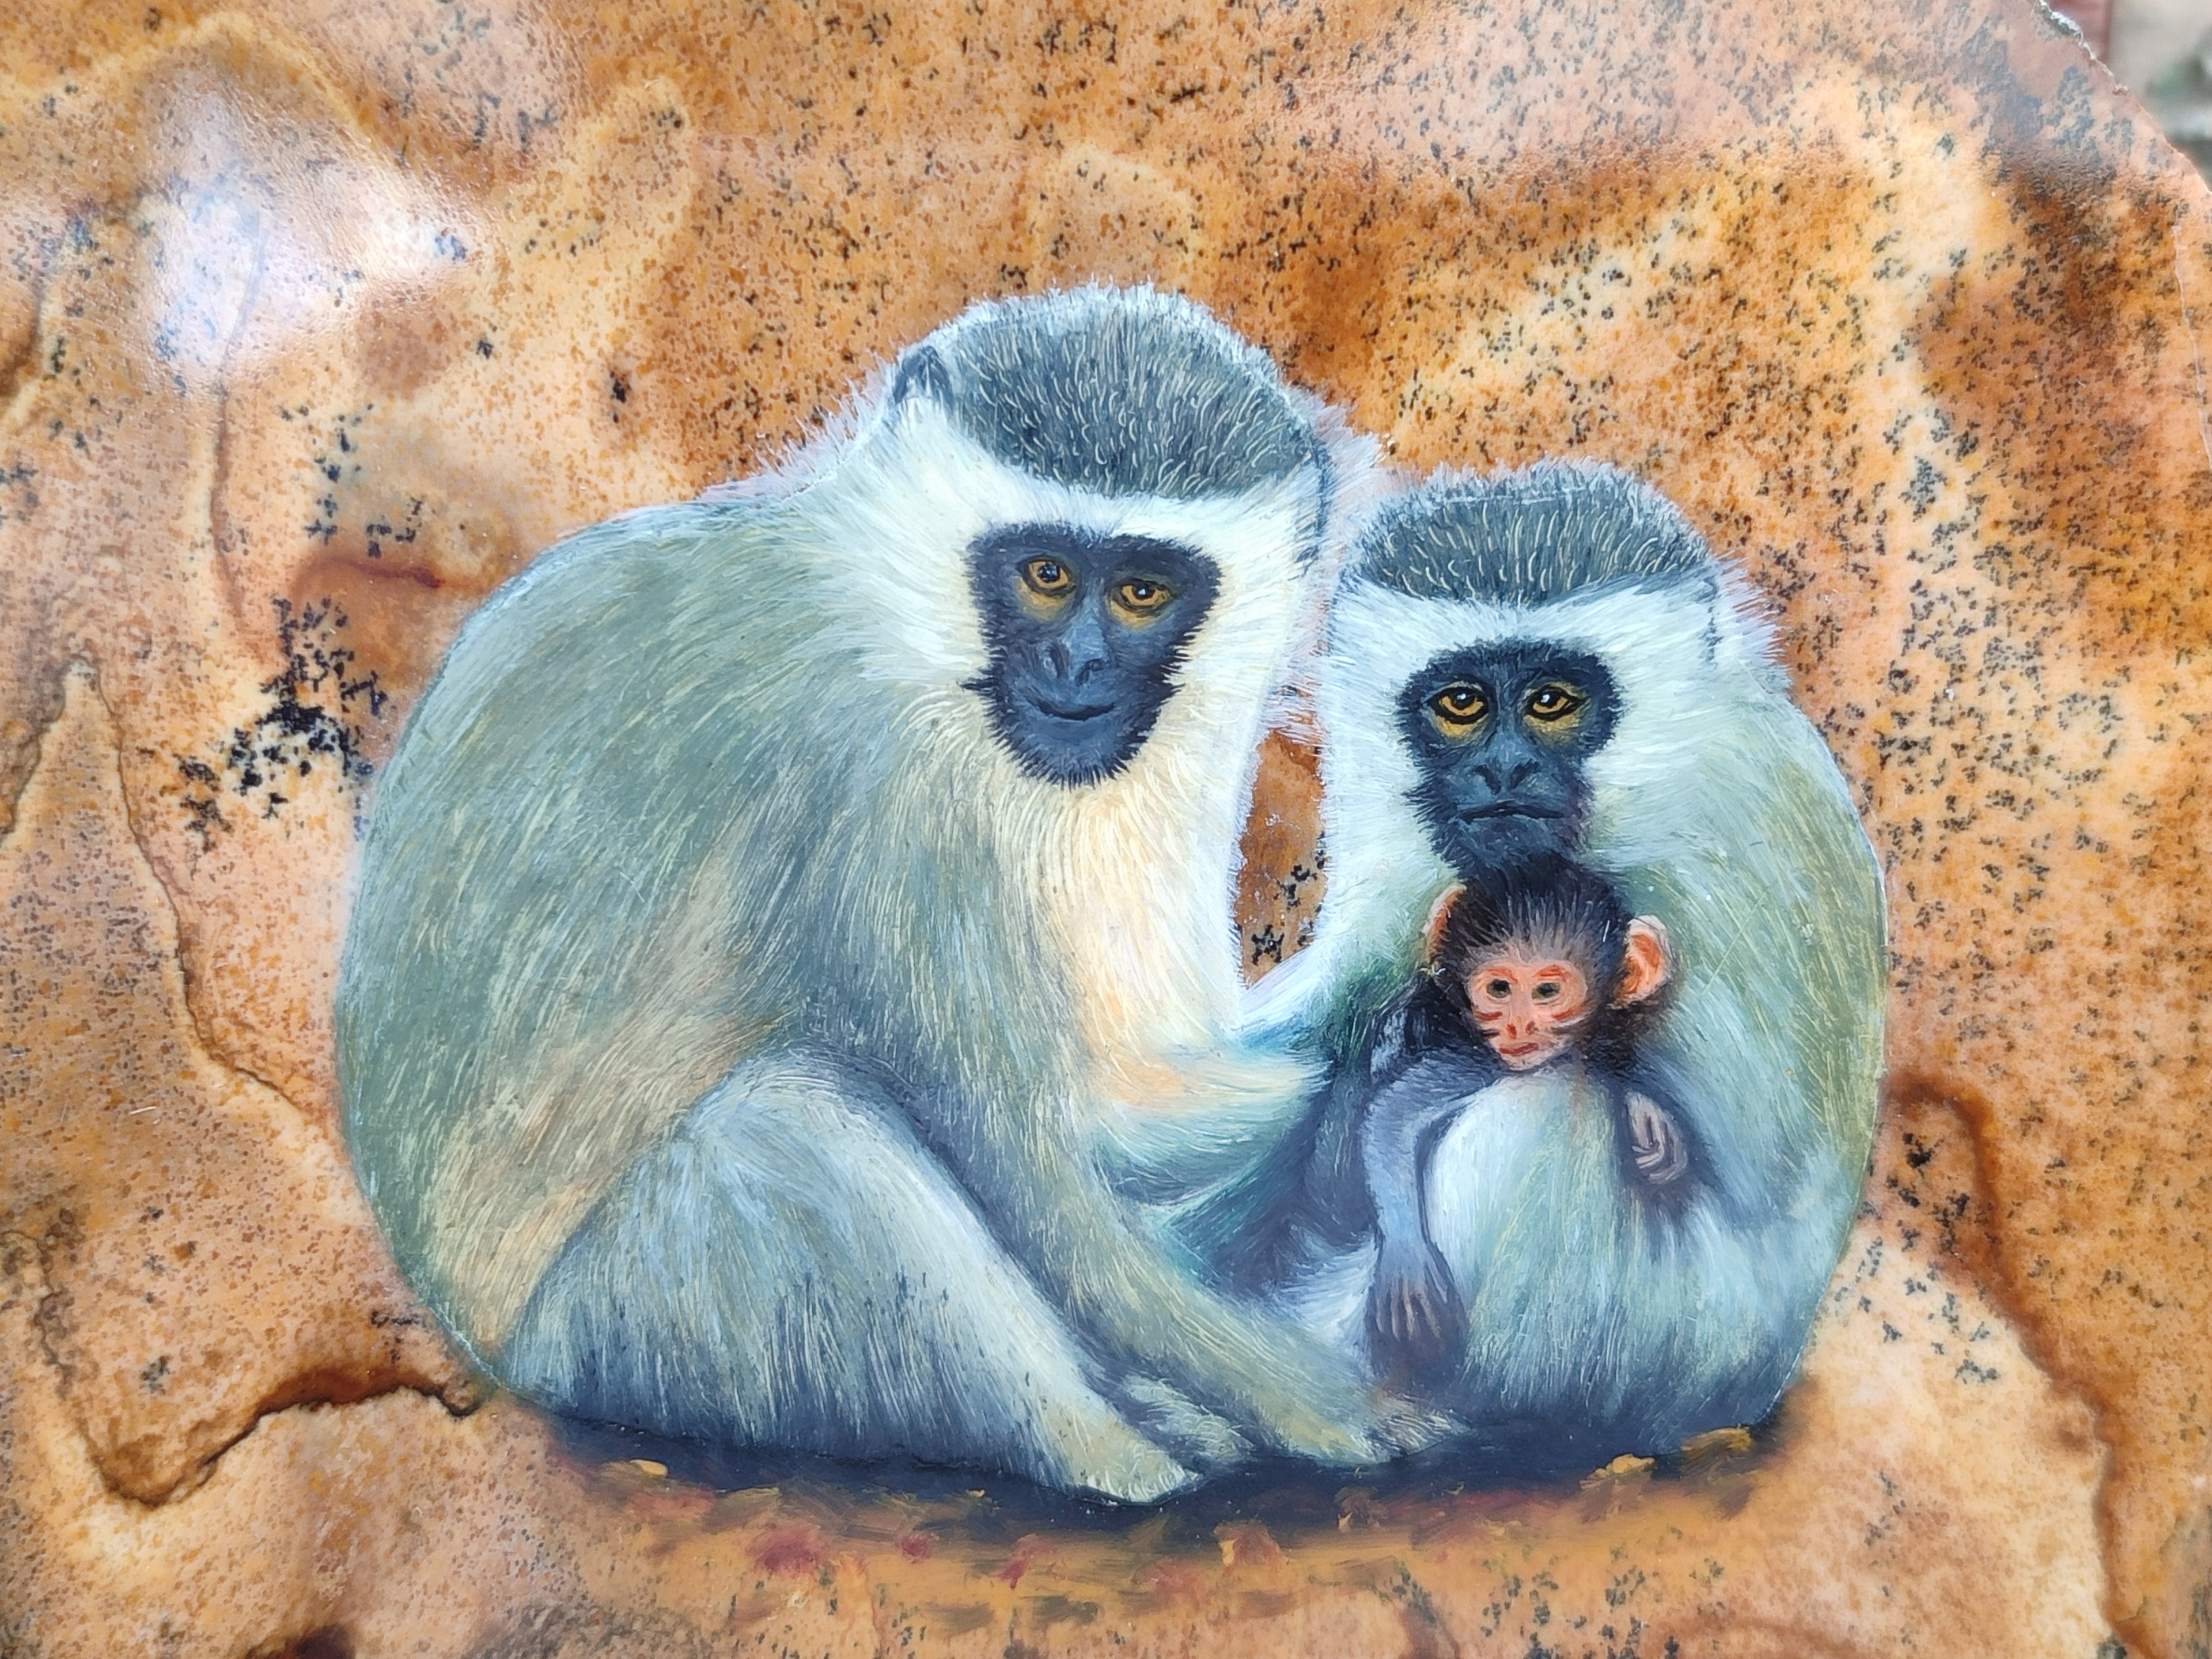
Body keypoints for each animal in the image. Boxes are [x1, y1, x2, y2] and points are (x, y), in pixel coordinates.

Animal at [336, 287, 1427, 1504]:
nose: (1080, 669)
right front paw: (1319, 1407)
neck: (906, 623)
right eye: (1046, 575)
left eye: (1144, 591)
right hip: (637, 1333)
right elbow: (1037, 1172)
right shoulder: (881, 784)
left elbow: (1134, 1100)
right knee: (791, 1122)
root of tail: (488, 1352)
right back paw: (1106, 1455)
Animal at [1359, 853, 1693, 1372]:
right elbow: (1391, 1116)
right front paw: (1408, 1260)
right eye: (1499, 988)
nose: (1518, 1026)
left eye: (1547, 992)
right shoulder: (1468, 1061)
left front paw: (1650, 1120)